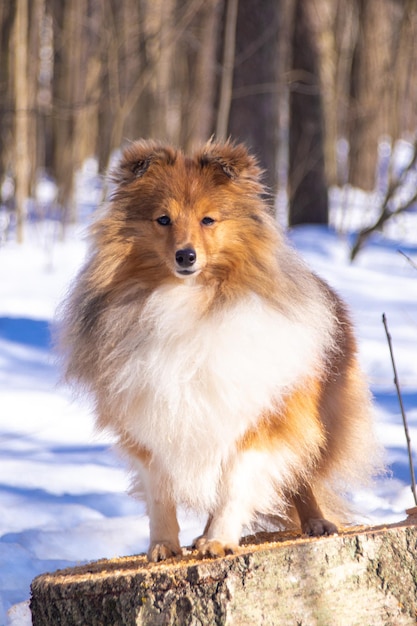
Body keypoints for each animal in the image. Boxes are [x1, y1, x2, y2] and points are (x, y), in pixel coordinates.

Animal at [58, 140, 380, 560]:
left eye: (208, 220)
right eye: (163, 220)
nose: (186, 256)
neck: (187, 299)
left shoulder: (257, 417)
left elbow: (235, 486)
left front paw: (220, 540)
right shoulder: (152, 420)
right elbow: (161, 494)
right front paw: (163, 547)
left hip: (310, 411)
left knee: (301, 473)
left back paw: (316, 523)